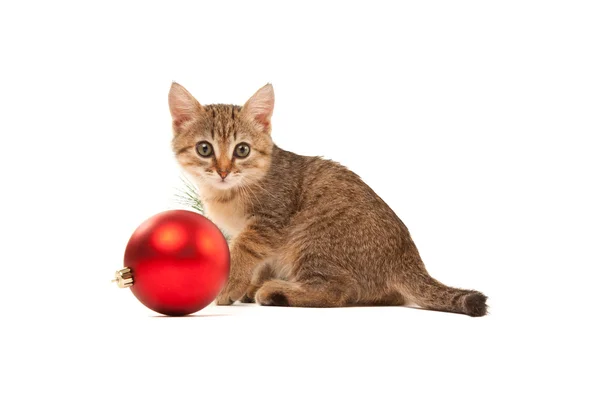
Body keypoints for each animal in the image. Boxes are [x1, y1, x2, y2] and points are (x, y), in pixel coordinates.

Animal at [168, 83, 488, 318]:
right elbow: (258, 261)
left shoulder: (269, 222)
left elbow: (243, 250)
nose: (223, 171)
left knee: (335, 292)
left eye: (242, 150)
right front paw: (246, 284)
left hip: (311, 236)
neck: (228, 192)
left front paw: (230, 285)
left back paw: (276, 292)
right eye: (205, 148)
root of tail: (408, 258)